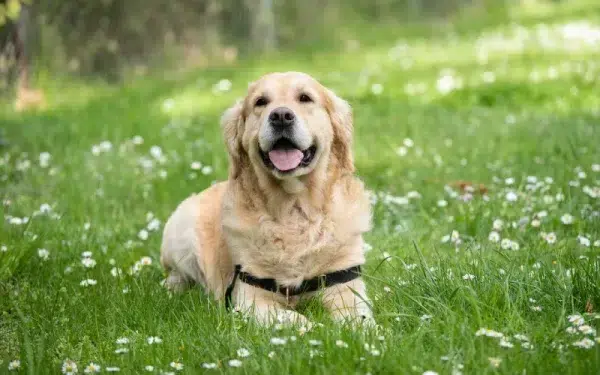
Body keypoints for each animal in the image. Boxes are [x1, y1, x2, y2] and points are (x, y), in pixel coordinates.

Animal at [162, 72, 372, 328]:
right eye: (260, 102)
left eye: (305, 98)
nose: (281, 116)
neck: (293, 209)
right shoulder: (250, 297)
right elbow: (293, 318)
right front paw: (314, 328)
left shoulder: (345, 285)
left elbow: (360, 319)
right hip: (181, 229)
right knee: (178, 275)